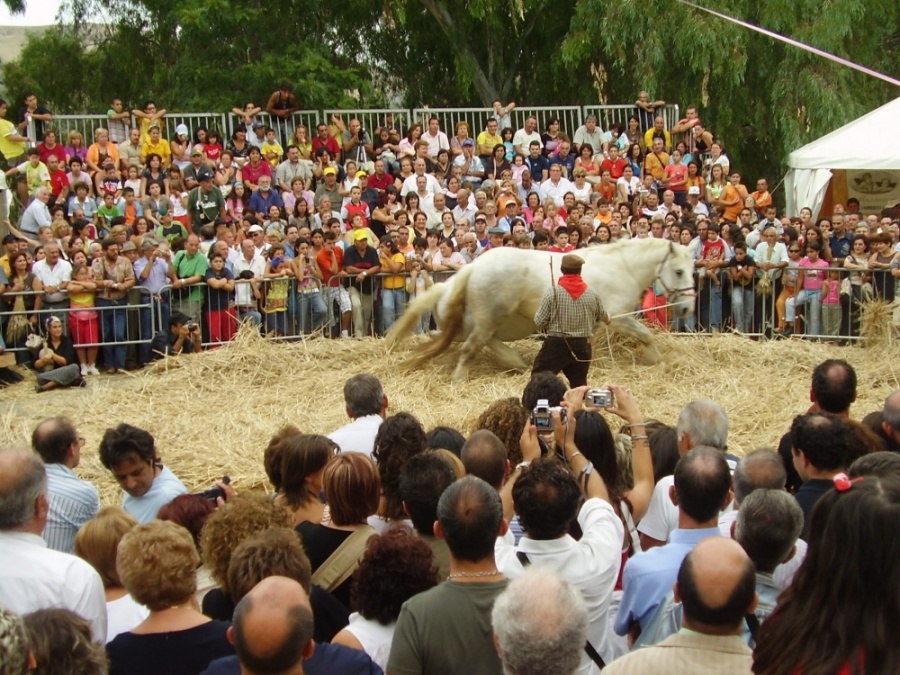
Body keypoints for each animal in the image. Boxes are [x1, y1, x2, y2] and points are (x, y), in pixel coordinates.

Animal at [386, 240, 696, 382]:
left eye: (693, 269)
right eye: (679, 271)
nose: (686, 308)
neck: (622, 268)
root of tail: (472, 268)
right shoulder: (617, 317)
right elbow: (646, 335)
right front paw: (656, 359)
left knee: (483, 342)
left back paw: (515, 362)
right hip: (488, 318)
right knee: (472, 346)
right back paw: (460, 378)